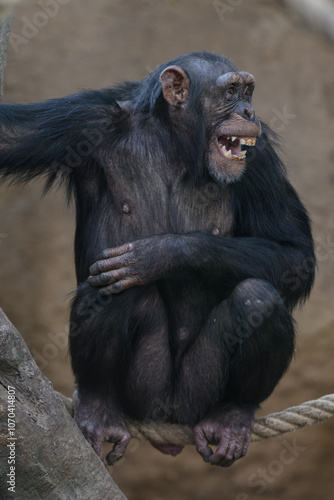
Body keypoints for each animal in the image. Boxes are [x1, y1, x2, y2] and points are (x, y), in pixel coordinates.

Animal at [0, 52, 316, 466]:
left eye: (248, 91)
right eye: (231, 92)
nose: (248, 110)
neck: (175, 143)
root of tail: (169, 426)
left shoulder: (259, 157)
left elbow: (296, 254)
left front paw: (160, 254)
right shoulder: (84, 120)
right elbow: (10, 135)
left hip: (197, 395)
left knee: (256, 298)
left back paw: (233, 415)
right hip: (143, 392)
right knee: (113, 290)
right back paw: (101, 408)